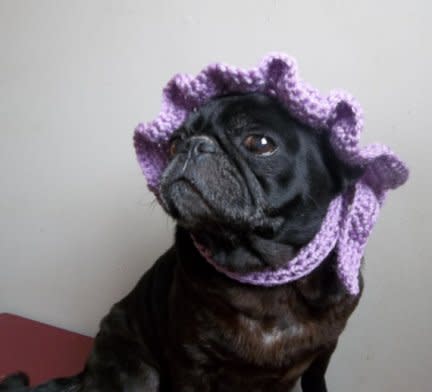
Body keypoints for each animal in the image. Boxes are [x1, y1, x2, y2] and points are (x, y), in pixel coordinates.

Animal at [0, 92, 364, 392]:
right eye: (174, 143)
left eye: (260, 143)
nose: (194, 145)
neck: (265, 275)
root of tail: (85, 372)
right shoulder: (192, 364)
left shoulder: (321, 355)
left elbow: (316, 380)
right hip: (136, 373)